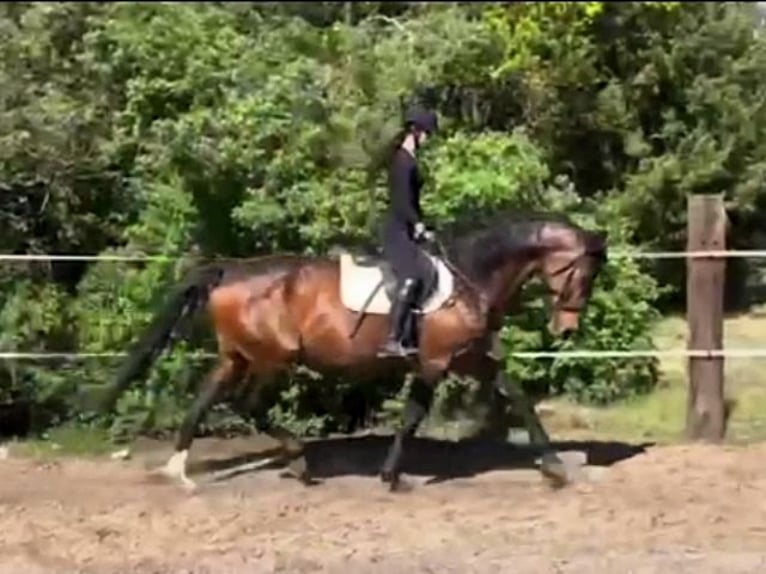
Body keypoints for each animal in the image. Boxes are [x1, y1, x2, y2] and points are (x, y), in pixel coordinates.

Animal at [101, 211, 607, 492]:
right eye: (582, 274)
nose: (566, 329)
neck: (469, 277)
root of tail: (230, 271)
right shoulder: (435, 362)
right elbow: (413, 415)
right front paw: (392, 477)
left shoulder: (473, 358)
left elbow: (518, 397)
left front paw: (555, 469)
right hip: (271, 359)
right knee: (246, 404)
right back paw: (298, 459)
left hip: (238, 356)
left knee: (207, 400)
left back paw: (180, 471)